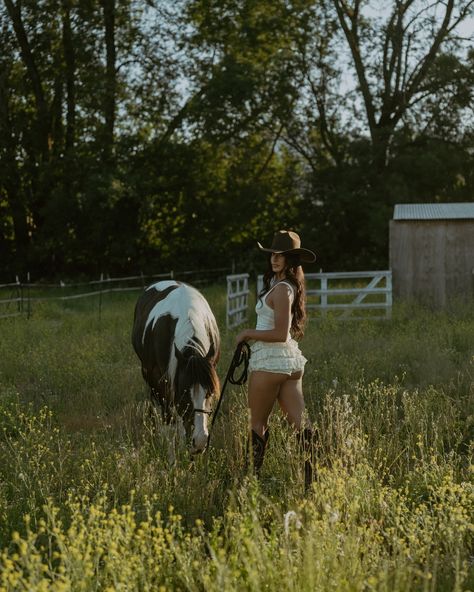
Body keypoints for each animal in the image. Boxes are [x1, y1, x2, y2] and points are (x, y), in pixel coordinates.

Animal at [131, 280, 220, 450]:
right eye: (185, 393)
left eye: (210, 393)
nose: (199, 441)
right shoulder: (160, 381)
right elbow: (169, 424)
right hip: (148, 375)